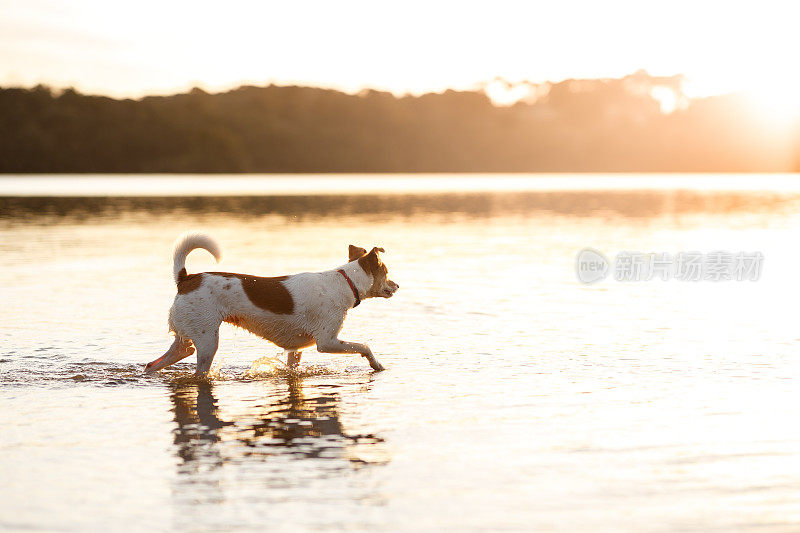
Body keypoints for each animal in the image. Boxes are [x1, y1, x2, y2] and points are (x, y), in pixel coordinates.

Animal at [145, 233, 400, 374]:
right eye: (387, 272)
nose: (397, 286)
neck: (344, 283)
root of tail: (186, 279)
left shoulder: (295, 350)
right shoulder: (327, 342)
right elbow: (364, 346)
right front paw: (377, 364)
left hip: (187, 336)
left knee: (159, 361)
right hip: (208, 340)